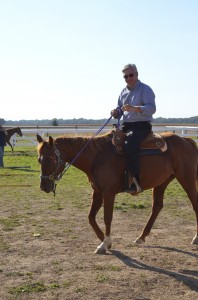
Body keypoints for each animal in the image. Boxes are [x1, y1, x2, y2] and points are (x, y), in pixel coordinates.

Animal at [36, 132, 198, 253]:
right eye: (39, 160)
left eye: (49, 160)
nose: (44, 186)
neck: (97, 157)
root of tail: (186, 141)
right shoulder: (97, 192)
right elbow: (90, 217)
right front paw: (103, 239)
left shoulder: (108, 193)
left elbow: (107, 217)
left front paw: (104, 243)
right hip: (162, 182)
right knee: (157, 206)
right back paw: (141, 237)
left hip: (187, 179)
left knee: (194, 204)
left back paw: (195, 237)